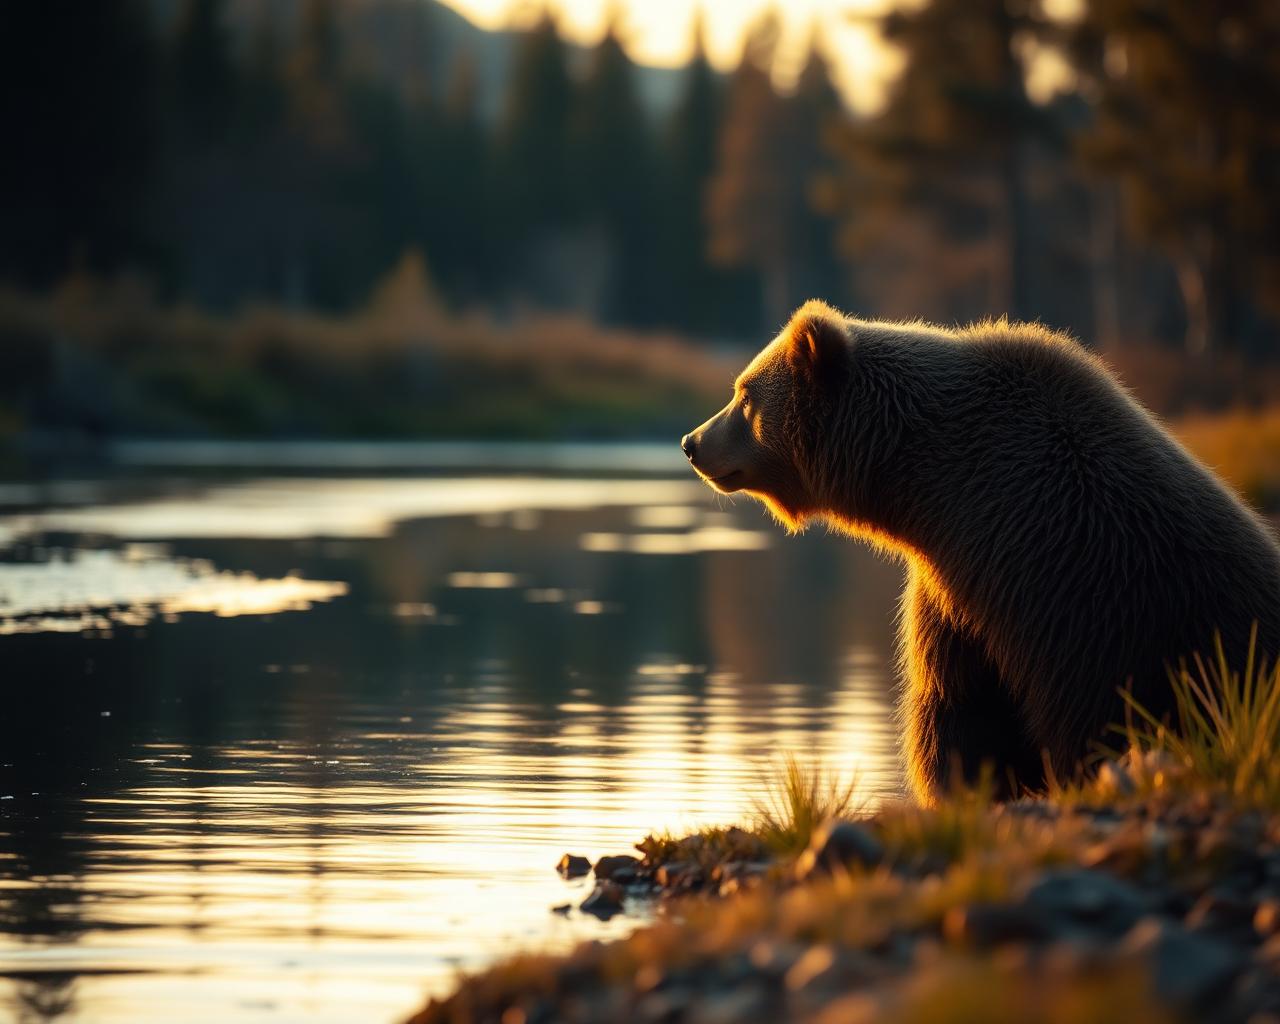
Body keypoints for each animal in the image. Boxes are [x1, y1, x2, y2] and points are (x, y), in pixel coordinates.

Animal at [681, 300, 1280, 803]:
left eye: (744, 395)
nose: (691, 442)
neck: (932, 490)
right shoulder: (957, 587)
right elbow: (959, 702)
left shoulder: (1065, 579)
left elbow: (1074, 712)